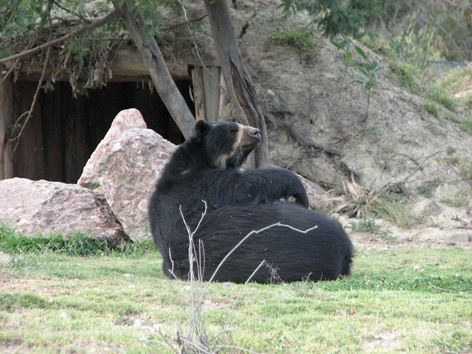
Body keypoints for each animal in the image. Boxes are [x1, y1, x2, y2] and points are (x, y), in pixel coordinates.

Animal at [149, 120, 352, 284]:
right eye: (232, 130)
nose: (256, 131)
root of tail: (342, 252)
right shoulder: (201, 185)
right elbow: (242, 186)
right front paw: (299, 190)